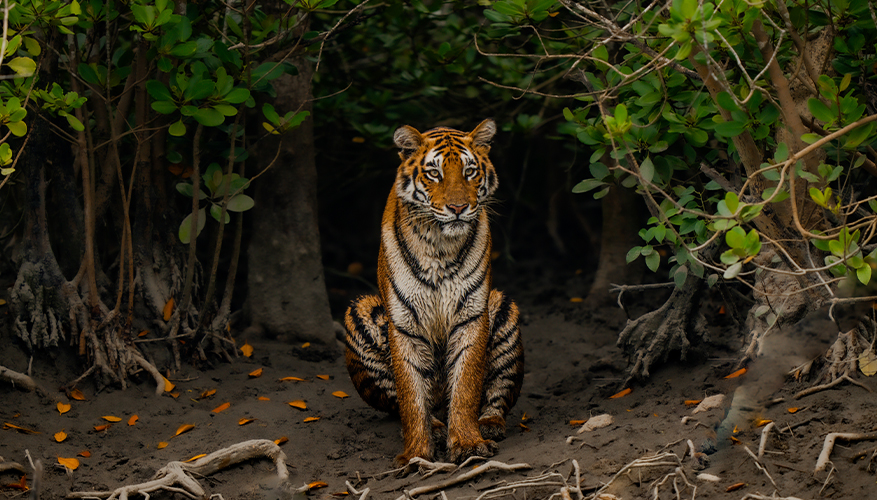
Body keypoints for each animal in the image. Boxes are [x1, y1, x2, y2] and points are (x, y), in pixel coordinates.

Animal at [344, 119, 525, 465]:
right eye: (434, 173)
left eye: (469, 171)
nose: (458, 208)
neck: (440, 245)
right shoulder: (402, 323)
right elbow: (411, 395)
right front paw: (416, 454)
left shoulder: (472, 314)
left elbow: (466, 386)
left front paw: (468, 443)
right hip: (360, 310)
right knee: (403, 403)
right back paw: (438, 428)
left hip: (502, 306)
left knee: (498, 394)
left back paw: (489, 424)